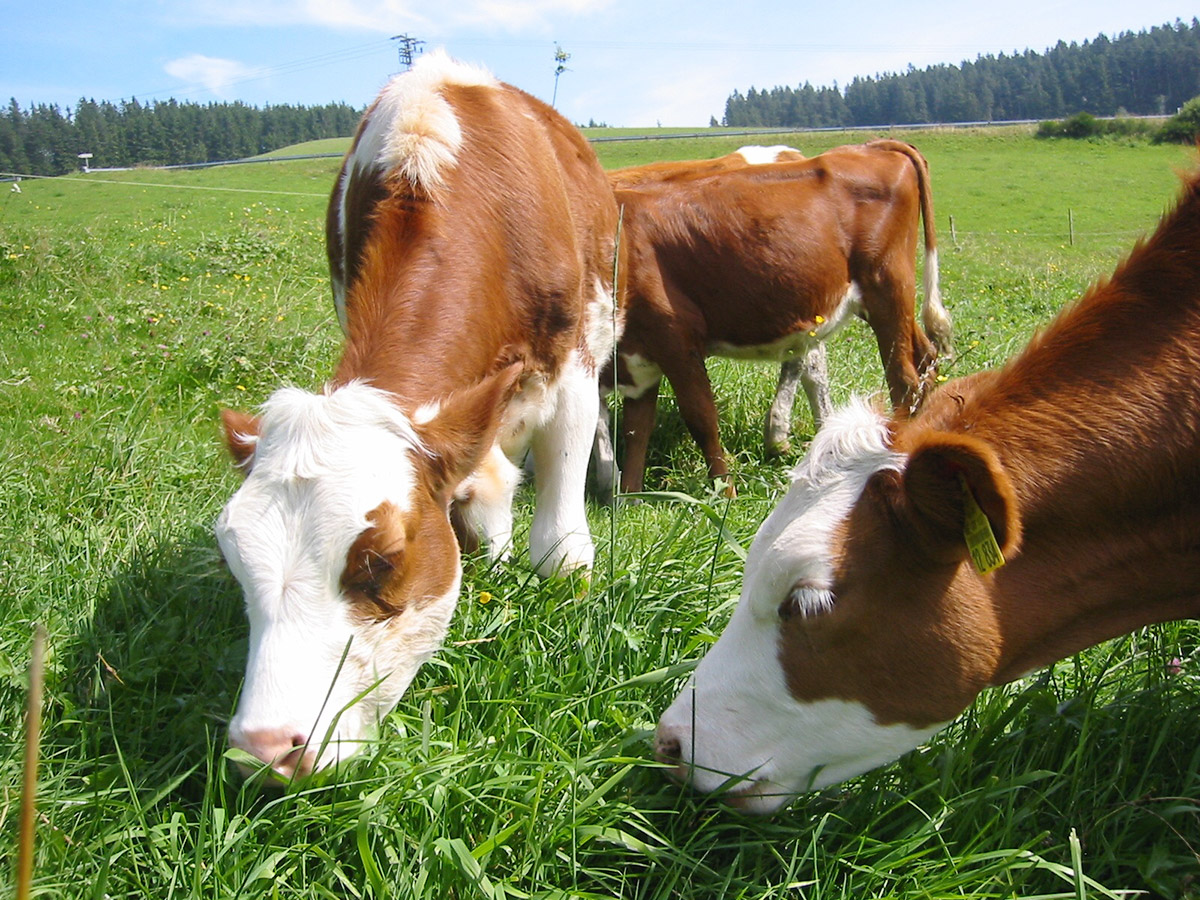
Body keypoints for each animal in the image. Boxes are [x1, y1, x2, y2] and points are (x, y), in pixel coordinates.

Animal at [608, 140, 952, 498]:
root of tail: (868, 146)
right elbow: (628, 428)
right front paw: (624, 495)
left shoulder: (676, 338)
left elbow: (699, 417)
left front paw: (723, 490)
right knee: (924, 359)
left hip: (887, 288)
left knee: (903, 380)